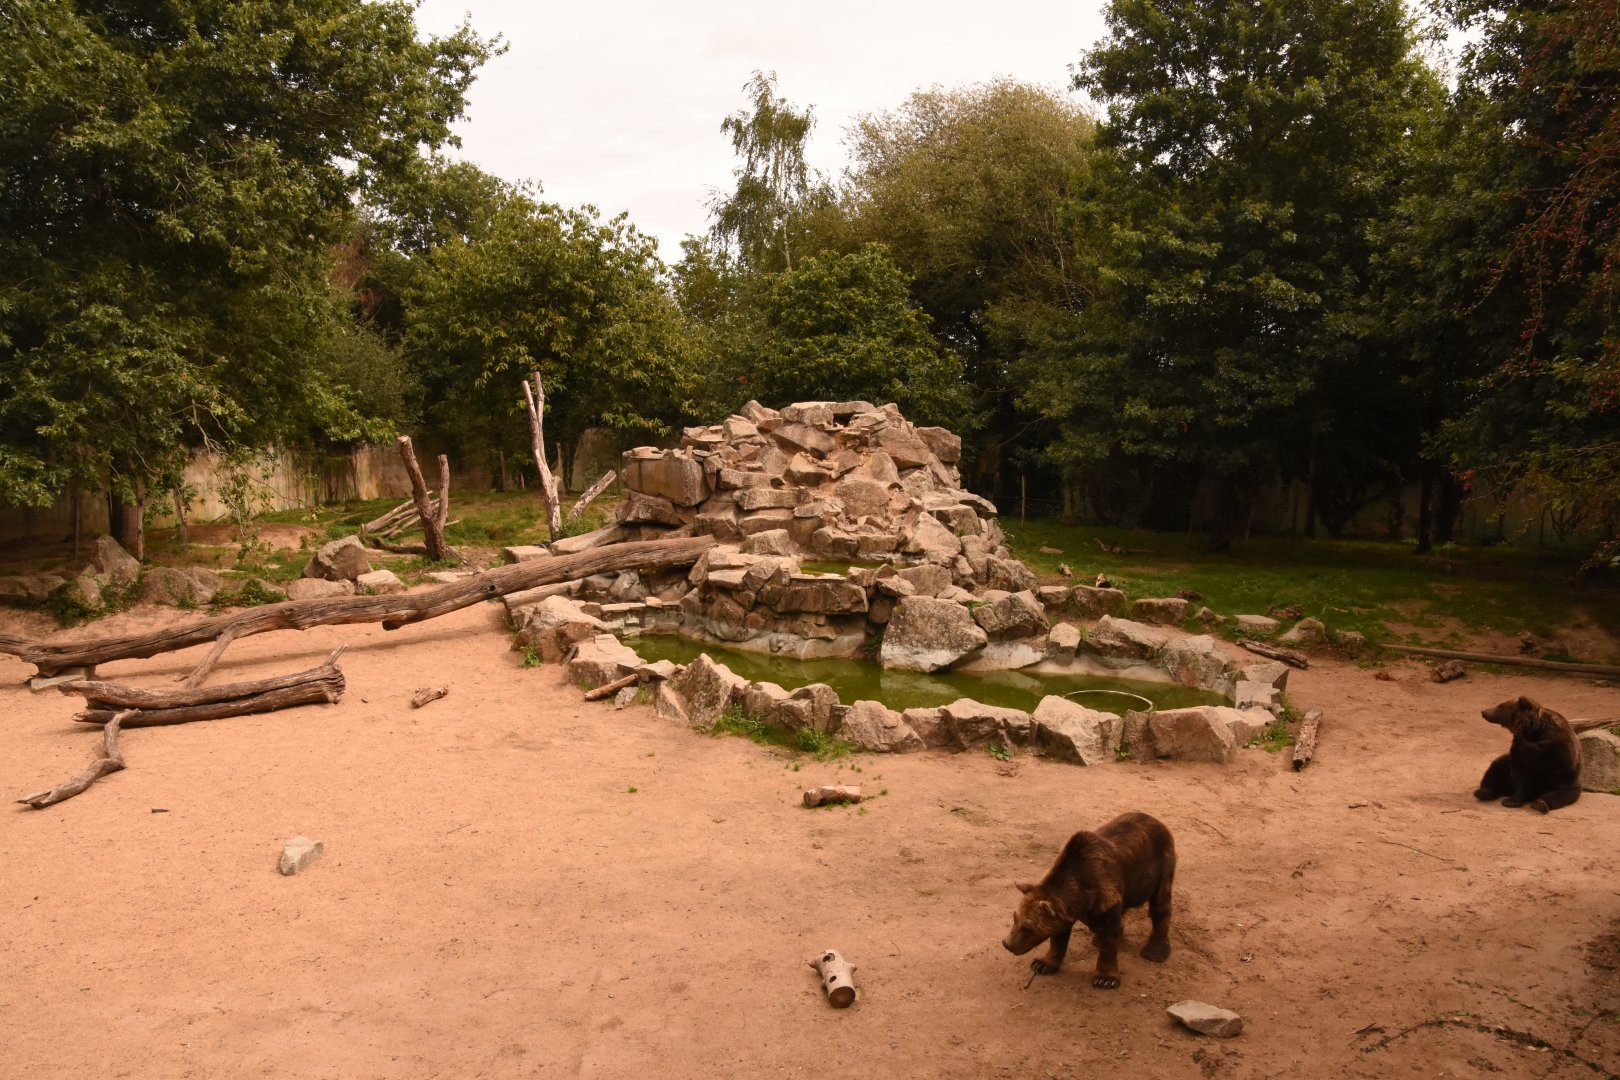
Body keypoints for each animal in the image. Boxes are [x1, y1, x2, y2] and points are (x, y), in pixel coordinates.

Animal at [1002, 811, 1176, 990]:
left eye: (1029, 927)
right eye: (1015, 917)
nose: (1007, 943)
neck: (1082, 895)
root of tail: (1156, 820)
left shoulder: (1106, 894)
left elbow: (1109, 935)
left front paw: (1106, 978)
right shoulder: (1067, 910)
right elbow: (1058, 937)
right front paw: (1043, 963)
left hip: (1161, 867)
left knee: (1160, 905)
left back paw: (1155, 950)